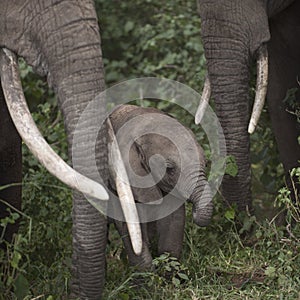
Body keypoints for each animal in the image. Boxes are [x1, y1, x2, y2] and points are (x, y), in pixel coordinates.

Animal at [105, 104, 213, 268]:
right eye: (169, 168)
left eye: (206, 163)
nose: (194, 210)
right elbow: (128, 223)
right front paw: (148, 271)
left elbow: (173, 219)